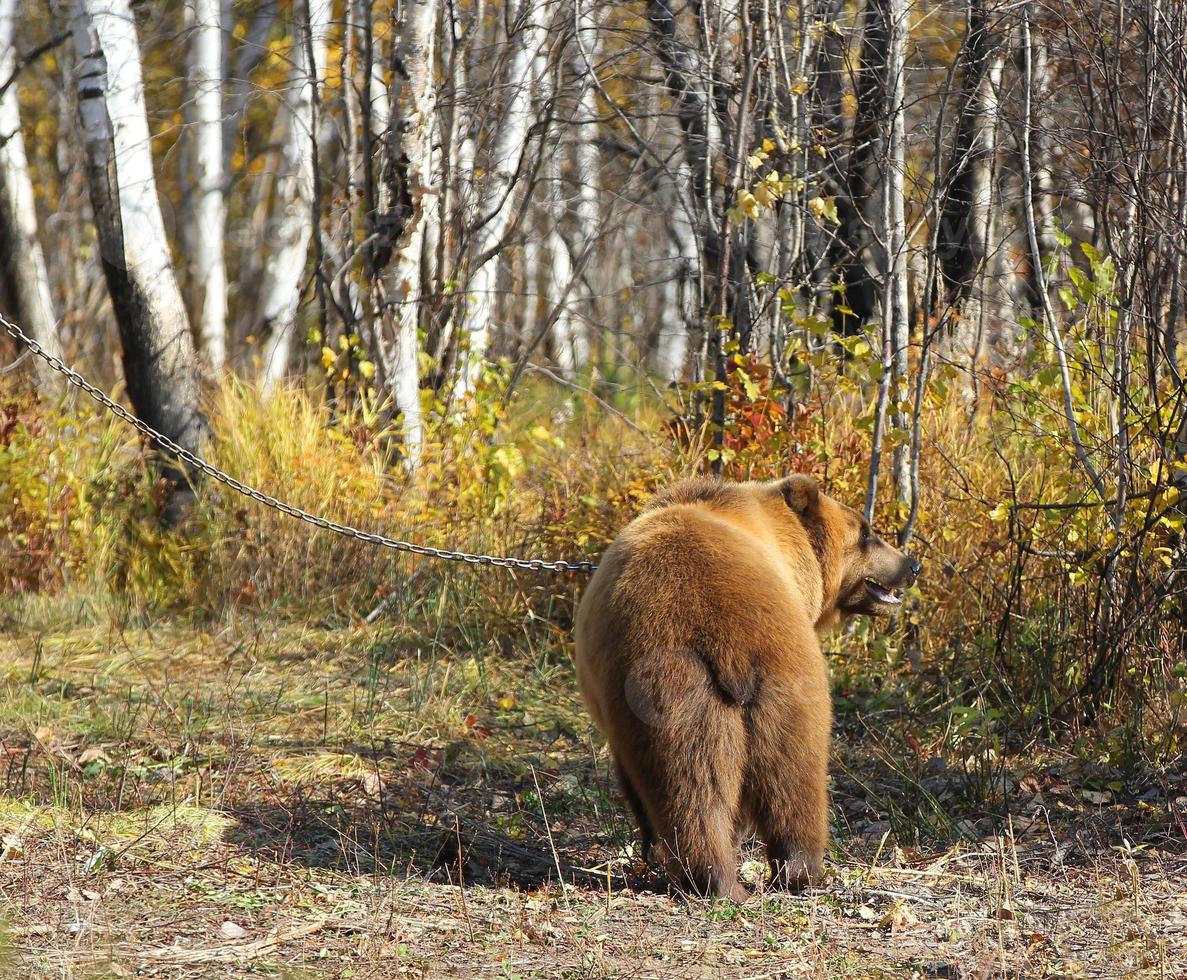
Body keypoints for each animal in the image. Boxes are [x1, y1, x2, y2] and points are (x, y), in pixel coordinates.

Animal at [572, 474, 916, 901]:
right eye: (867, 533)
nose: (912, 564)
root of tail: (727, 637)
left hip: (684, 689)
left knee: (696, 779)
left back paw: (718, 876)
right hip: (780, 683)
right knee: (784, 775)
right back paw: (786, 872)